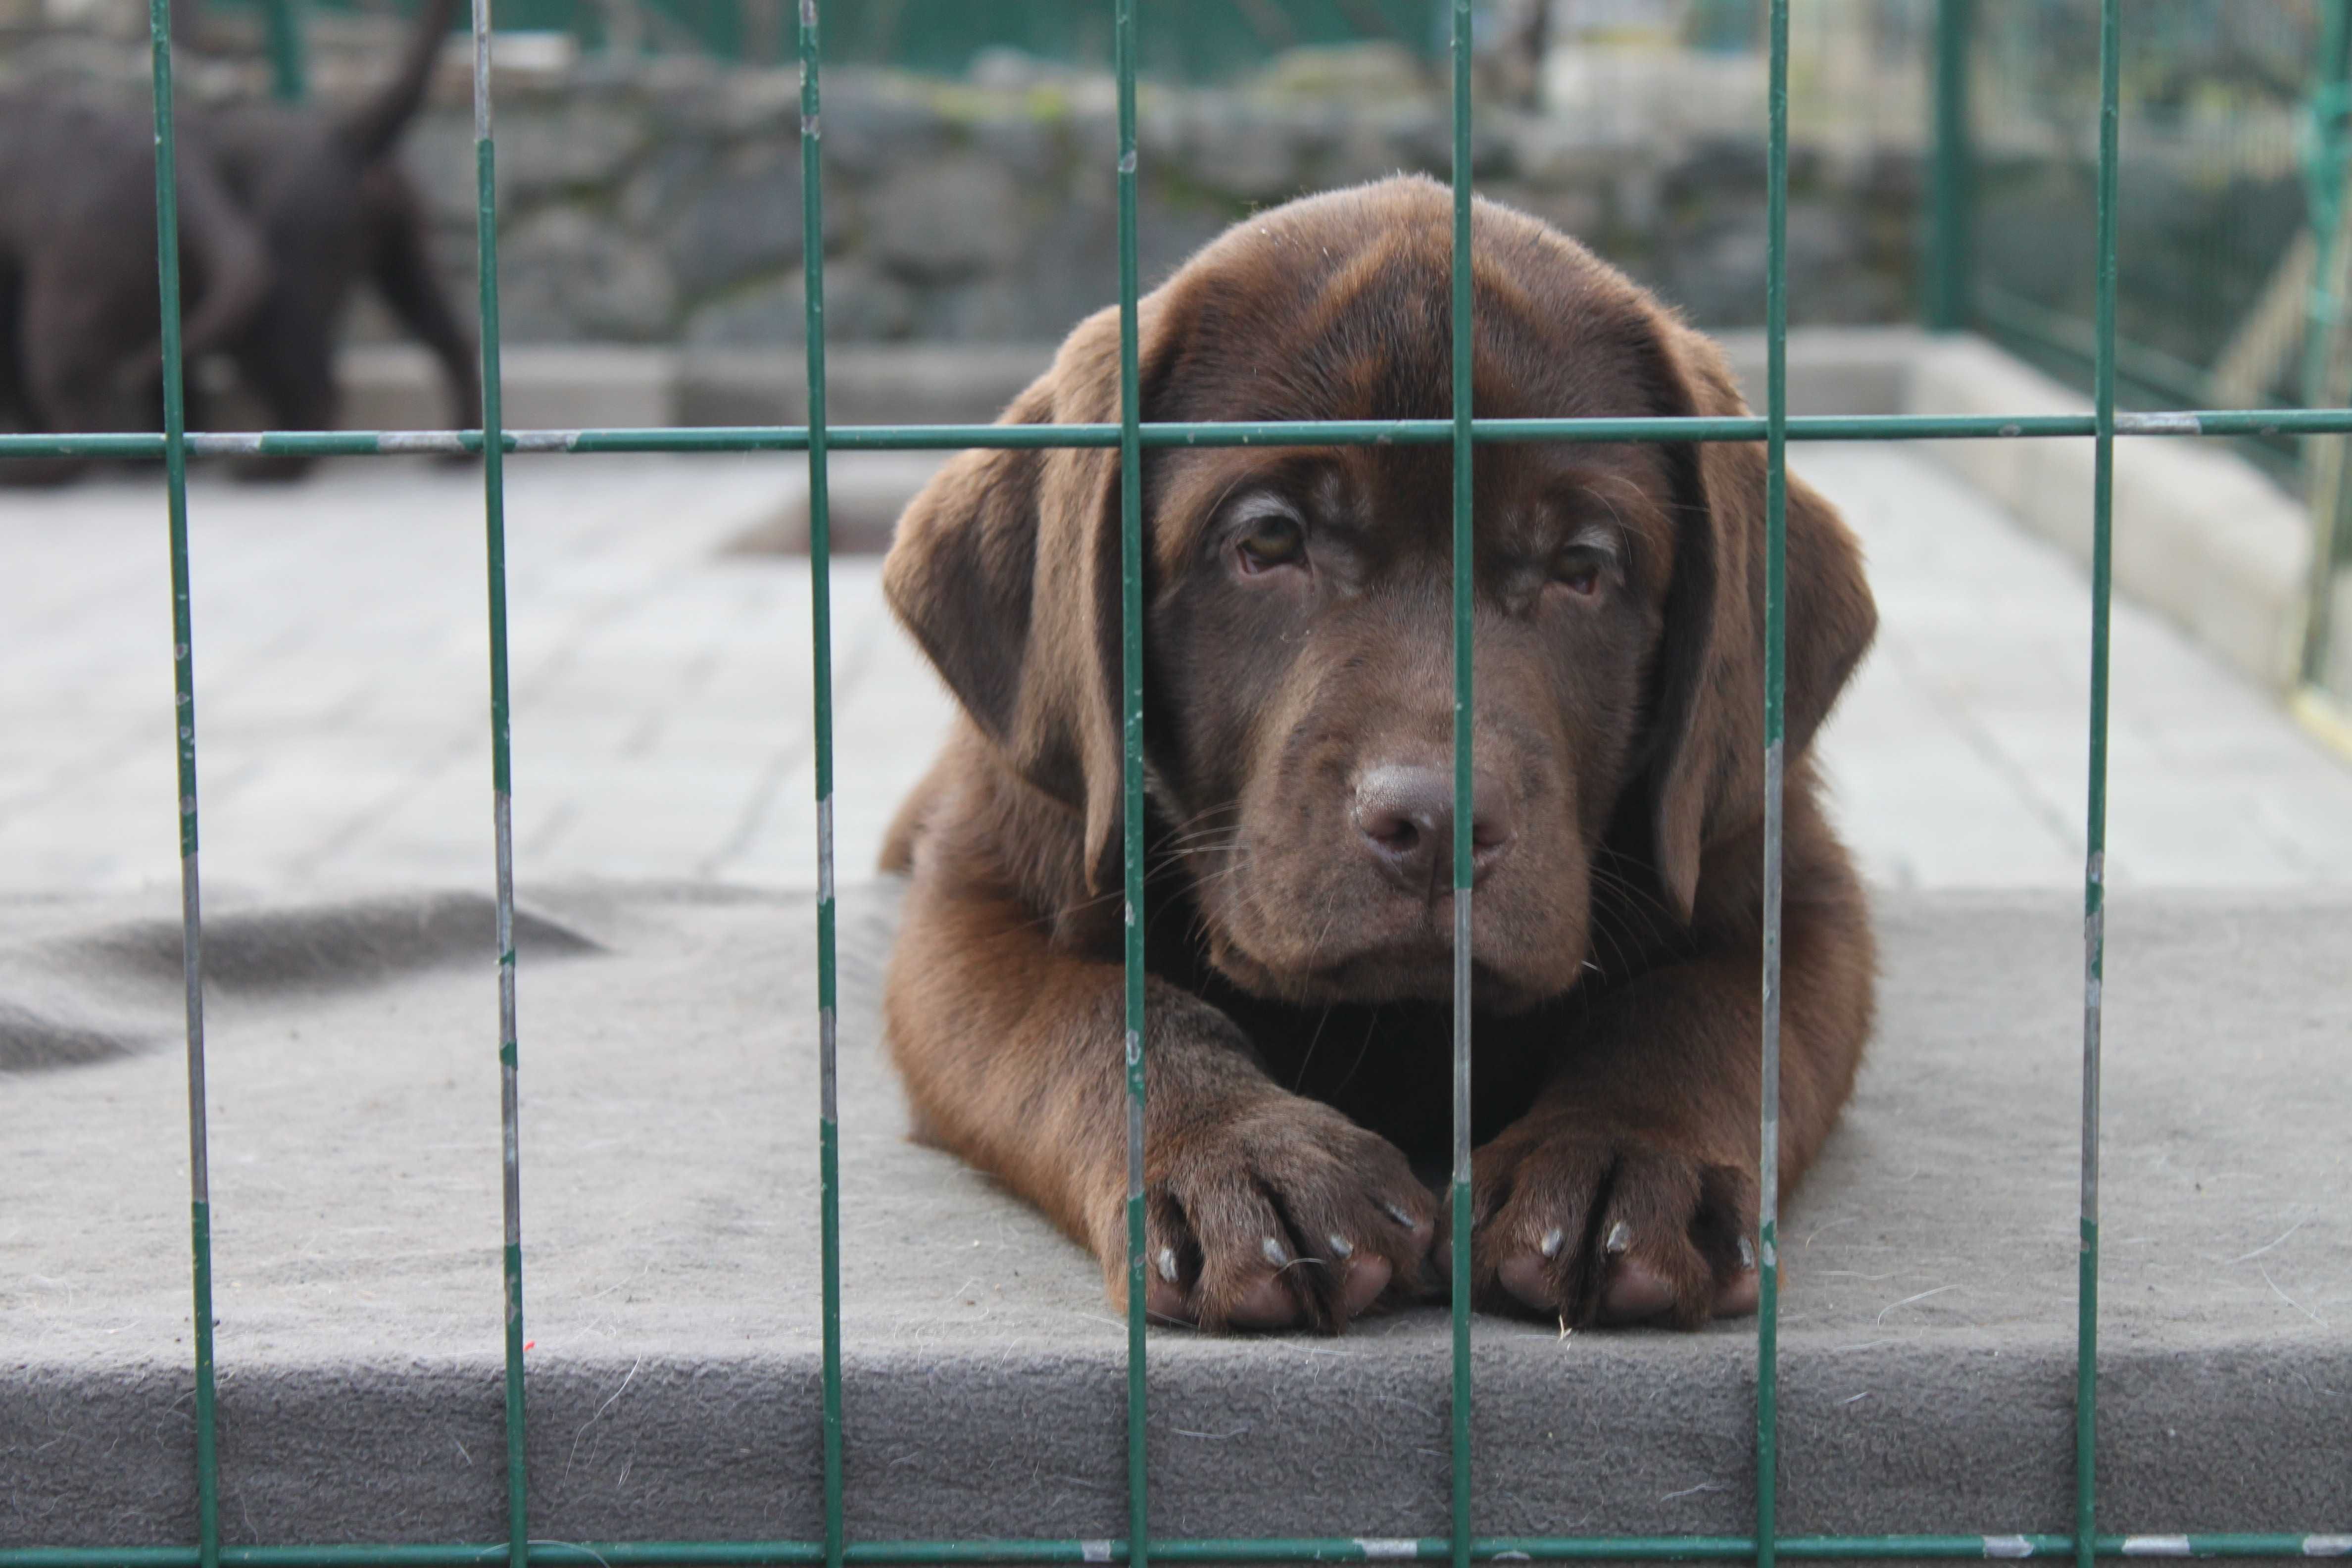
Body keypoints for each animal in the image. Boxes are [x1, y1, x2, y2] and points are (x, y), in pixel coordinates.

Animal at [880, 181, 1872, 1335]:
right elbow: (1093, 1020)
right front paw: (1245, 1159)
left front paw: (1625, 1156)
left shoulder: (1788, 883)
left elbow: (1703, 1013)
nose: (1436, 825)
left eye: (1583, 564)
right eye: (1268, 541)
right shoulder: (979, 899)